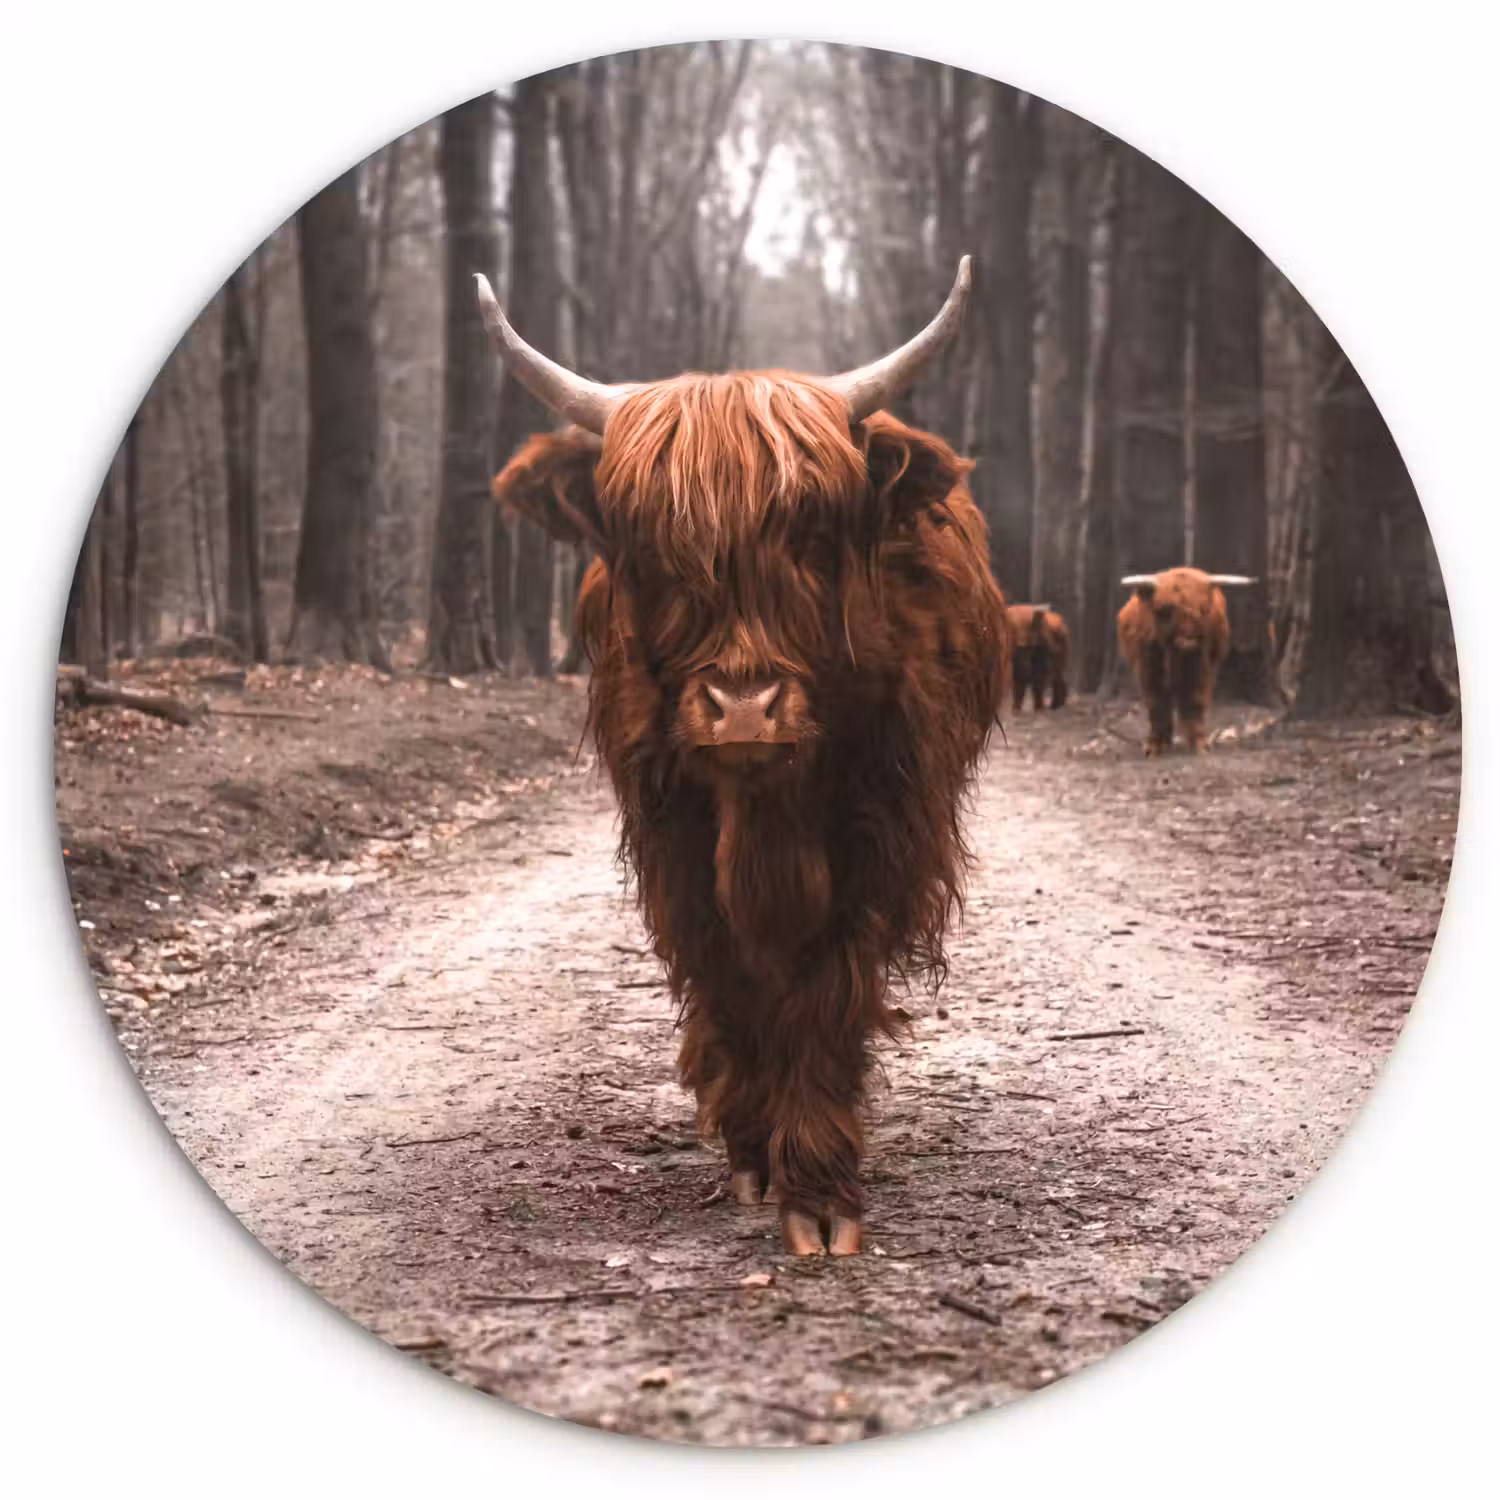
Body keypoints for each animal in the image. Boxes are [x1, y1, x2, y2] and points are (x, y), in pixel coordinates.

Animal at [480, 259, 1010, 1256]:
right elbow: (727, 972)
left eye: (810, 533)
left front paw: (821, 1191)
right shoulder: (672, 837)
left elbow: (827, 987)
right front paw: (756, 1151)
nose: (744, 710)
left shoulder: (878, 831)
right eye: (651, 545)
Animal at [1116, 567, 1255, 754]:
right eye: (1164, 610)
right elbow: (1156, 702)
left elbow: (1194, 701)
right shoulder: (1148, 668)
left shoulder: (1201, 667)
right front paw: (1155, 746)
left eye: (1204, 609)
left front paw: (1199, 744)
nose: (1189, 640)